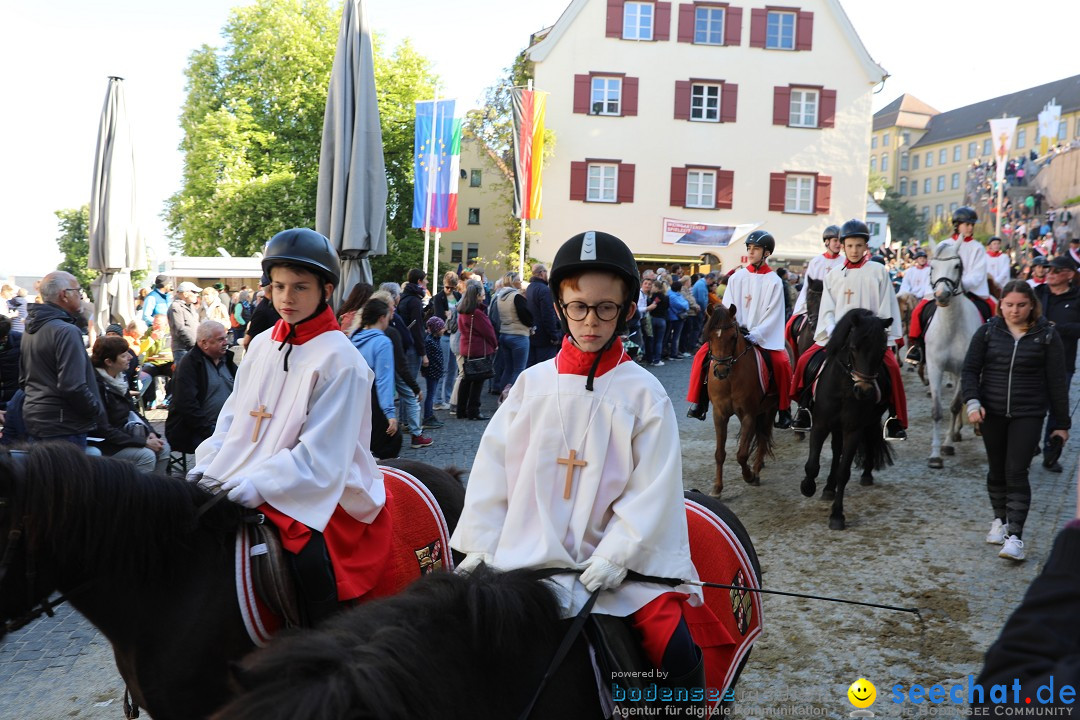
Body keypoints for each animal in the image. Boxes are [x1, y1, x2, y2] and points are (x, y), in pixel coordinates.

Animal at [699, 304, 777, 496]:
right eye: (709, 336)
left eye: (733, 337)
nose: (720, 371)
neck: (730, 380)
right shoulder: (719, 414)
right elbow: (720, 453)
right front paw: (717, 488)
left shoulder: (749, 414)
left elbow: (741, 454)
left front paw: (749, 475)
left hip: (770, 408)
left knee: (763, 438)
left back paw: (756, 470)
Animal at [803, 310, 894, 528]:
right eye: (853, 347)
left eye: (882, 350)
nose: (864, 390)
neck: (844, 388)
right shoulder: (820, 424)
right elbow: (812, 464)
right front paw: (807, 487)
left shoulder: (853, 429)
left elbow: (844, 472)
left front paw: (837, 515)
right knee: (836, 450)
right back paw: (828, 487)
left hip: (867, 422)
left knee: (866, 441)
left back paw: (865, 474)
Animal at [924, 245, 984, 470]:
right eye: (932, 266)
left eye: (957, 265)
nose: (942, 295)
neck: (951, 326)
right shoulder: (934, 367)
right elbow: (937, 411)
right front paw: (934, 455)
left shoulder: (963, 369)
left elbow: (955, 406)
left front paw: (947, 444)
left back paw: (957, 433)